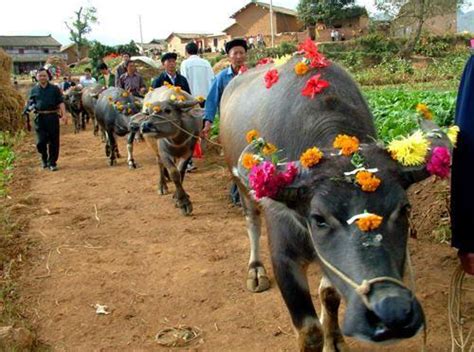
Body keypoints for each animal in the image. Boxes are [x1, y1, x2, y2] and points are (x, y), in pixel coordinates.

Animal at [131, 86, 203, 216]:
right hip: (155, 148)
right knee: (159, 163)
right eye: (148, 113)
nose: (145, 126)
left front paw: (177, 197)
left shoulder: (188, 153)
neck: (177, 138)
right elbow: (174, 173)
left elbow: (180, 171)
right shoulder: (164, 153)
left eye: (168, 110)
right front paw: (183, 202)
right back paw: (162, 185)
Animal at [219, 38, 460, 350]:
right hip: (240, 184)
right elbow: (309, 331)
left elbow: (330, 294)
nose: (391, 311)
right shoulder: (284, 255)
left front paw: (333, 338)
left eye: (405, 209)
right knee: (251, 222)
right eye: (319, 219)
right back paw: (255, 270)